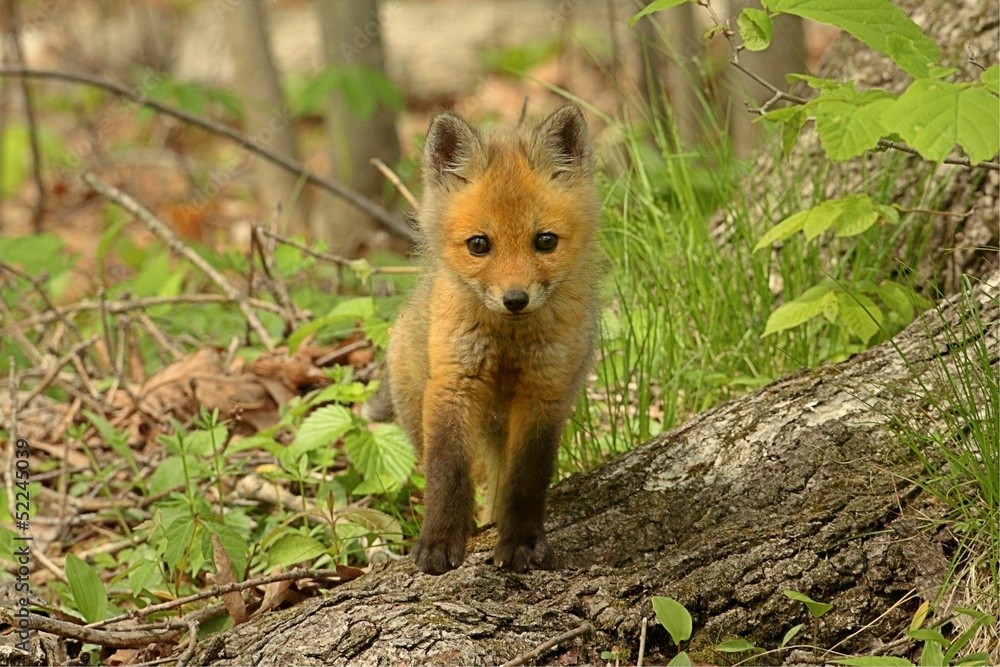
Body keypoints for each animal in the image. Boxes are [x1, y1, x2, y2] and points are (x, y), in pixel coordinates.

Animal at [385, 105, 602, 575]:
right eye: (479, 245)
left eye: (545, 241)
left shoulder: (544, 393)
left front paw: (520, 542)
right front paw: (440, 540)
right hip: (416, 411)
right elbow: (447, 473)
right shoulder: (454, 384)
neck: (508, 341)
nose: (515, 299)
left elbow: (524, 480)